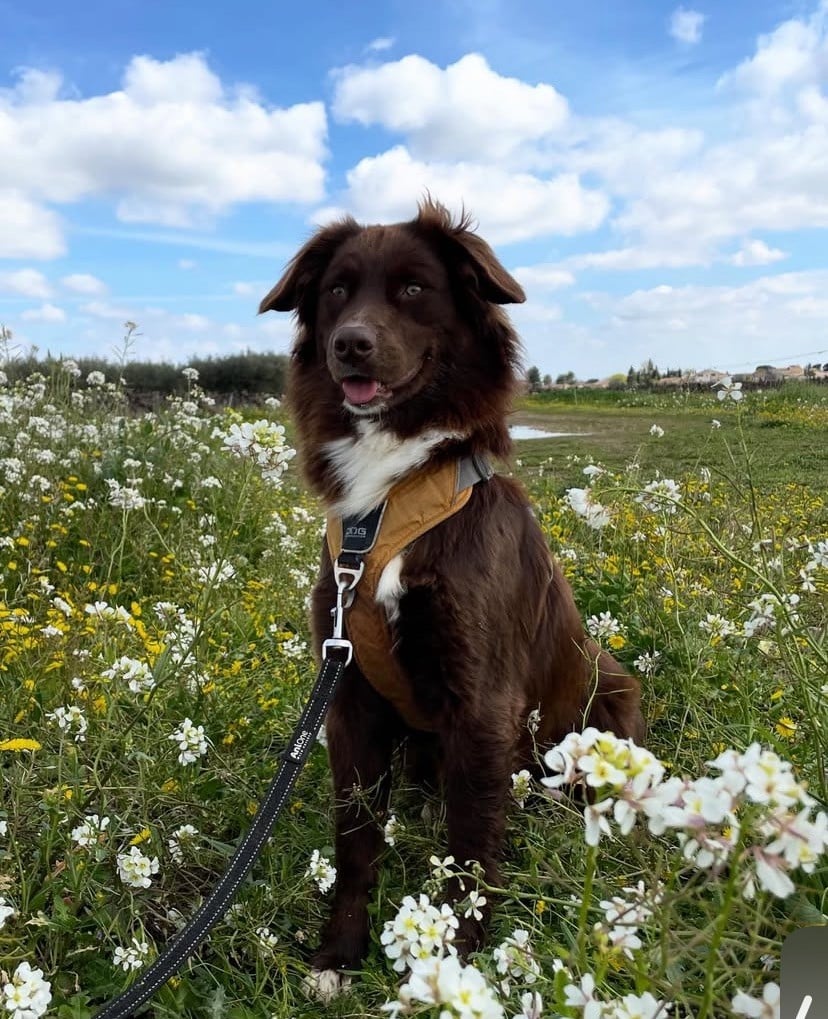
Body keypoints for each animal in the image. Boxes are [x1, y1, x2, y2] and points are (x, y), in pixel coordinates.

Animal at [260, 196, 643, 994]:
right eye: (336, 290)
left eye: (413, 289)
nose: (350, 345)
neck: (391, 498)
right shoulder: (348, 698)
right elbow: (354, 841)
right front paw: (339, 954)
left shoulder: (481, 698)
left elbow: (470, 849)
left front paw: (461, 964)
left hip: (612, 700)